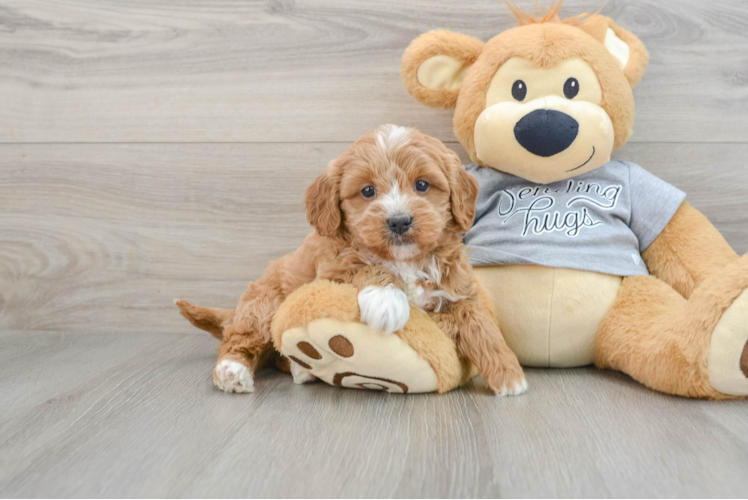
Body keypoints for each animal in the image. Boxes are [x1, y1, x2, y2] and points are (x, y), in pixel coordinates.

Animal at [177, 124, 524, 394]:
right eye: (367, 191)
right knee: (242, 339)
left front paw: (509, 375)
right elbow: (366, 268)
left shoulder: (458, 290)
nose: (399, 221)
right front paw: (387, 301)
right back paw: (233, 371)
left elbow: (482, 327)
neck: (405, 260)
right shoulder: (332, 268)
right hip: (264, 304)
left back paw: (301, 369)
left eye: (422, 185)